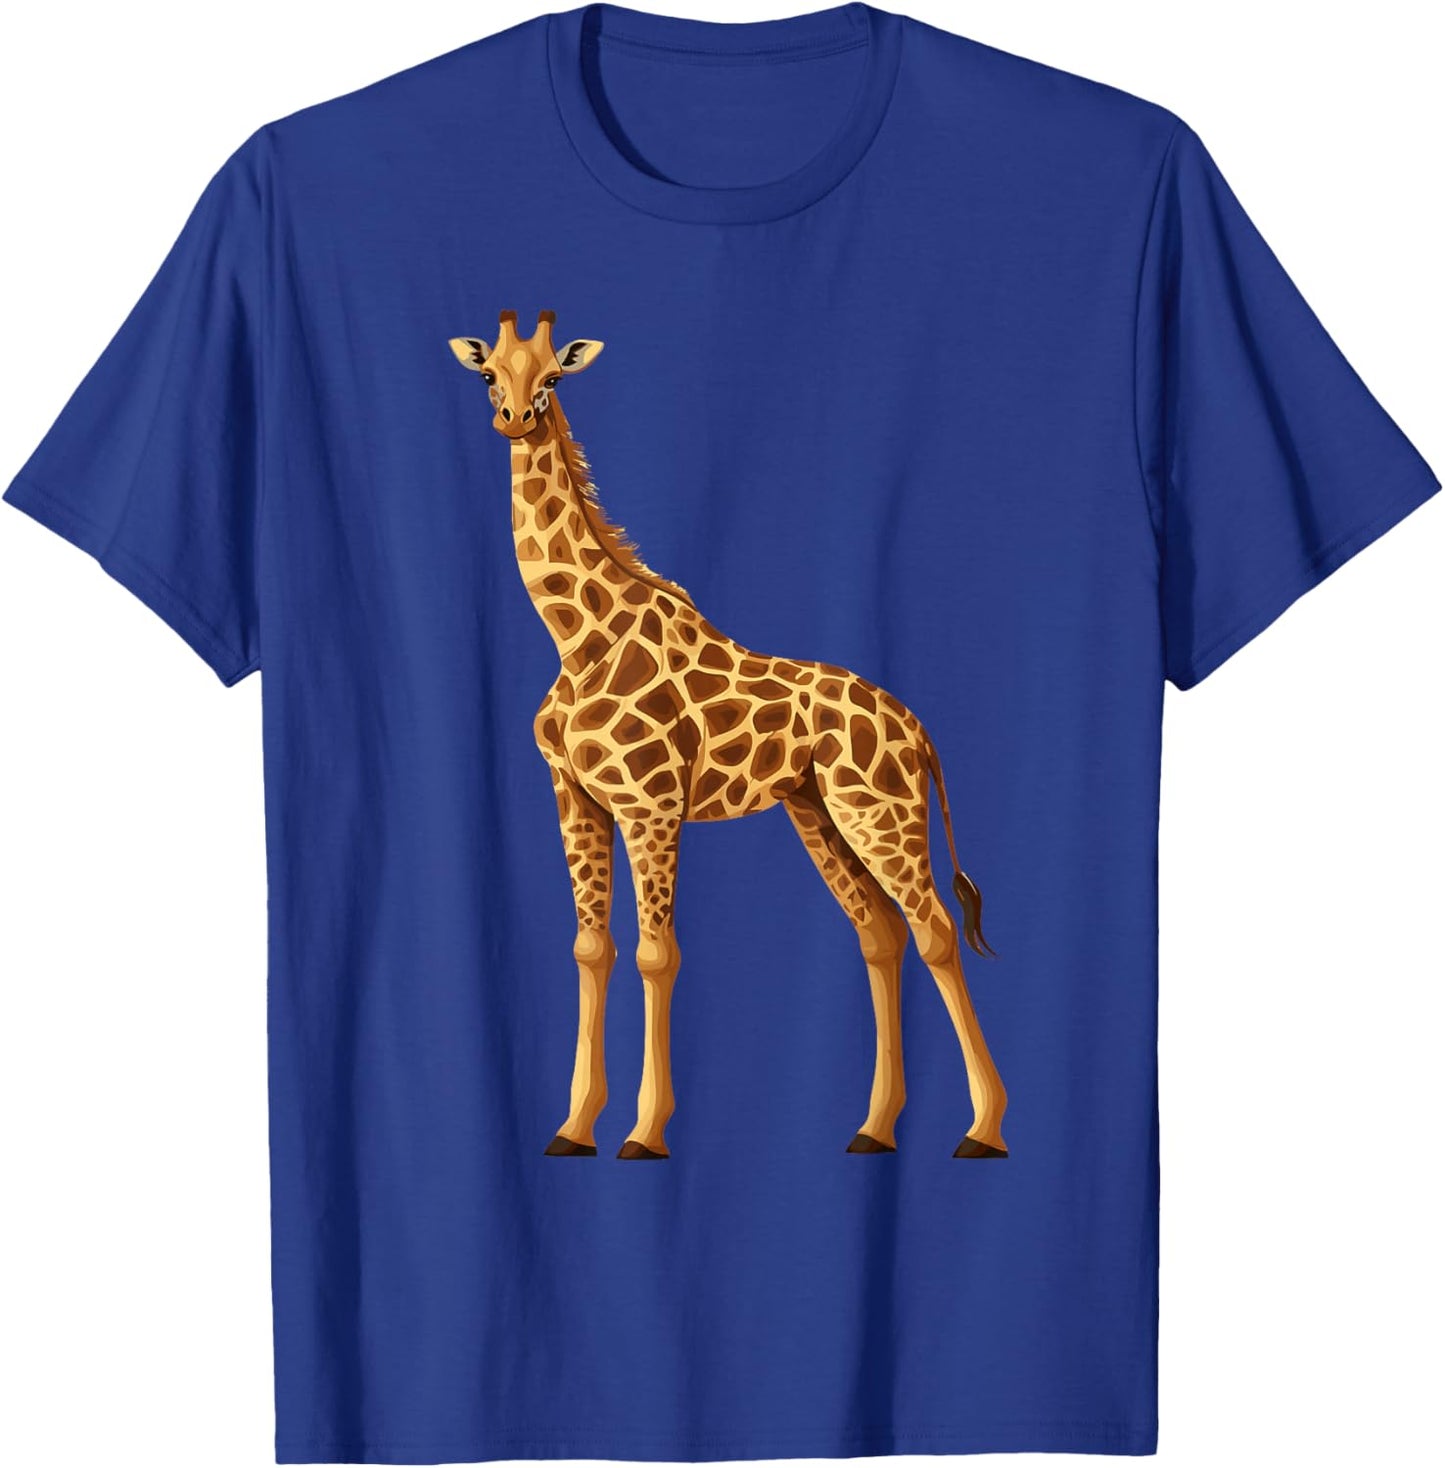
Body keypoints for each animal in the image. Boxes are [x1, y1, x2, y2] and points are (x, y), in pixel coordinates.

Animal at [449, 311, 1008, 1160]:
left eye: (551, 377)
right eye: (489, 374)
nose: (513, 417)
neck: (577, 639)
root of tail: (917, 730)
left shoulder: (649, 805)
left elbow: (656, 954)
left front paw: (645, 1131)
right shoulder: (575, 797)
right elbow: (590, 947)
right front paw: (574, 1127)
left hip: (878, 812)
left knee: (935, 930)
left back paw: (982, 1128)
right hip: (816, 813)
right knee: (878, 934)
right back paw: (874, 1128)